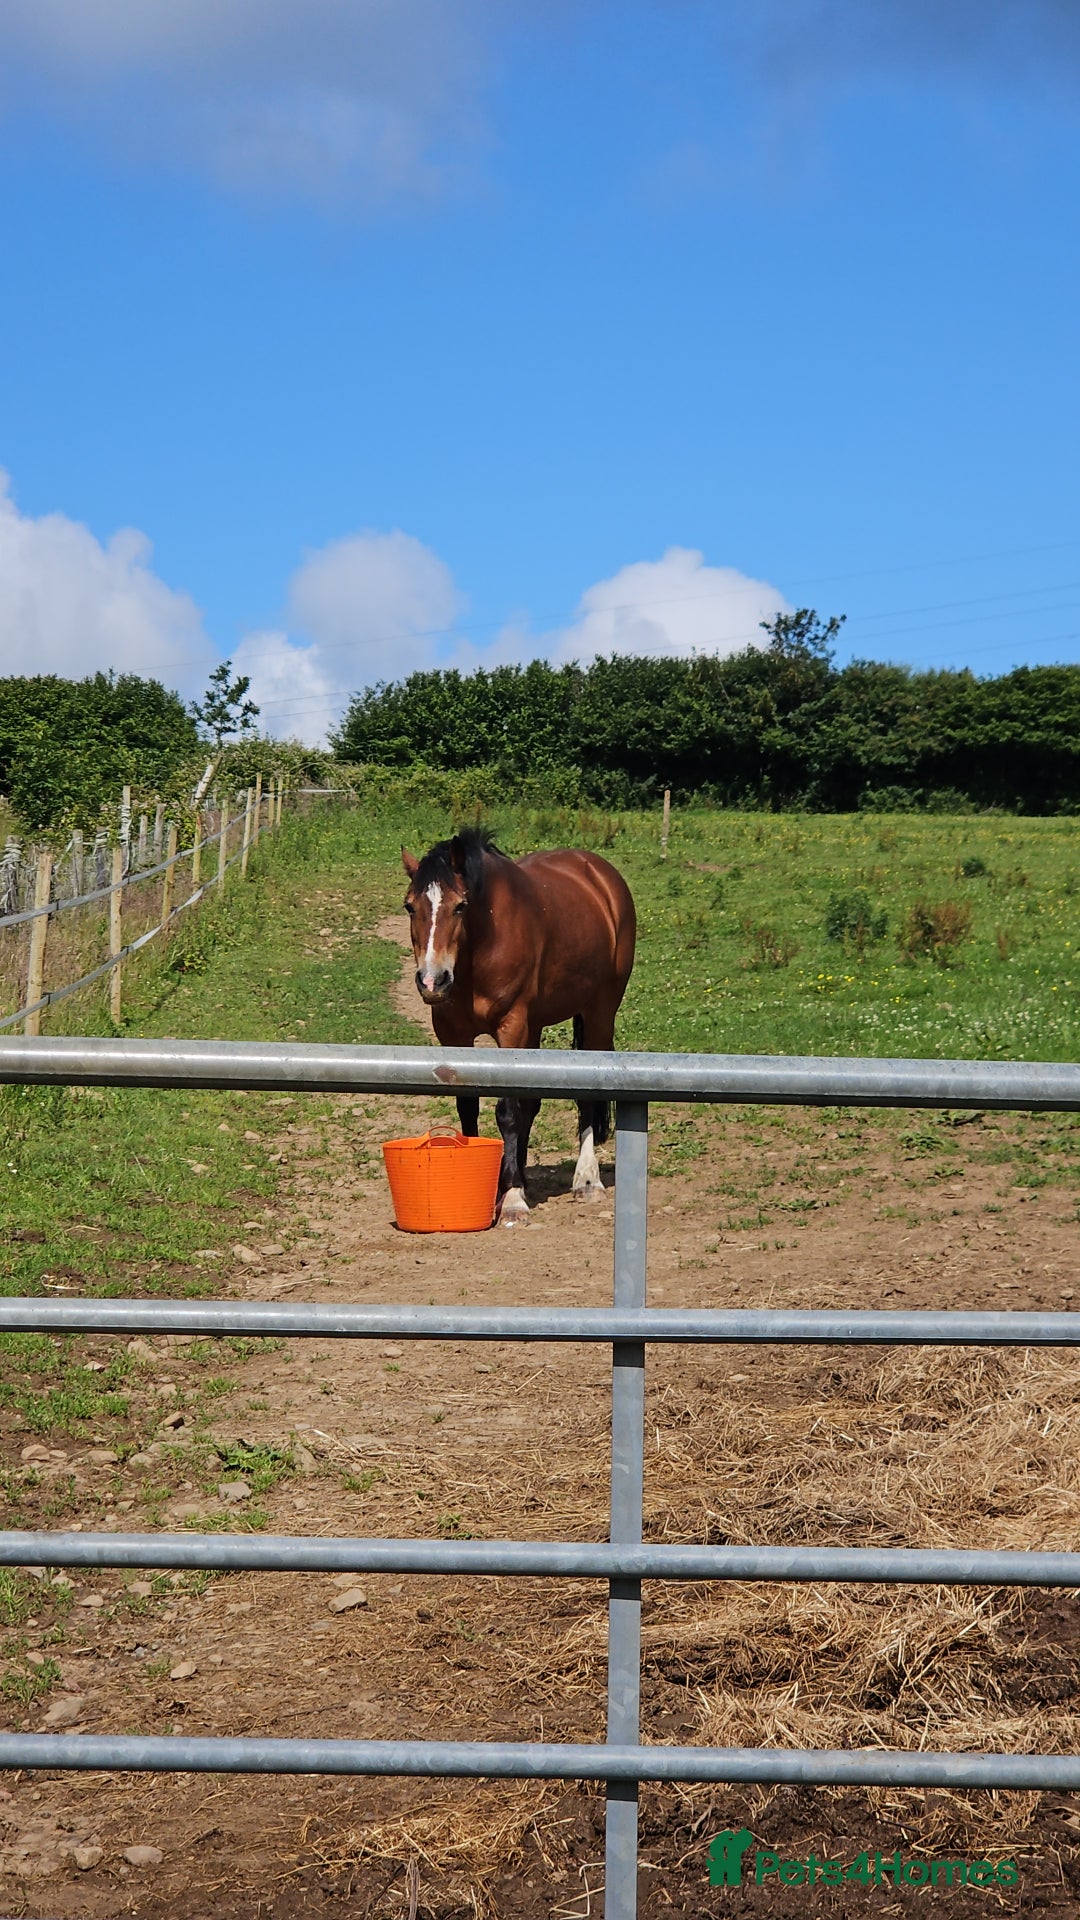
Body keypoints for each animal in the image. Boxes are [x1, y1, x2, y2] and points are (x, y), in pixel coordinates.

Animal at [401, 827, 636, 1225]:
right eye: (409, 906)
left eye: (460, 906)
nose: (433, 981)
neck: (482, 945)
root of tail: (601, 875)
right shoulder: (454, 1034)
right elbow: (470, 1106)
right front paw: (501, 1185)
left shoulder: (511, 1028)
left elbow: (508, 1111)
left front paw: (512, 1199)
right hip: (537, 1026)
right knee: (532, 1101)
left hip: (599, 1013)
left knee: (587, 1096)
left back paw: (586, 1180)